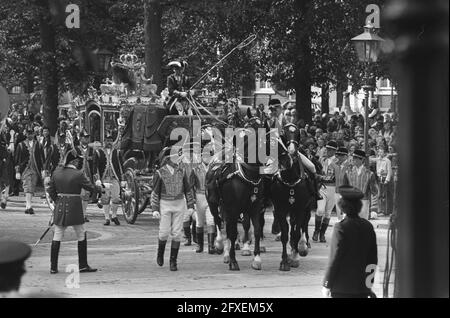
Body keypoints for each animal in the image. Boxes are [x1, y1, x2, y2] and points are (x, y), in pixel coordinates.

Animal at [268, 124, 314, 270]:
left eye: (297, 133)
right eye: (284, 133)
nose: (292, 151)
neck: (291, 177)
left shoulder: (300, 209)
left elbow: (296, 232)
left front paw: (294, 257)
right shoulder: (280, 209)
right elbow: (285, 234)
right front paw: (284, 261)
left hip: (306, 207)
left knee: (303, 224)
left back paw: (302, 246)